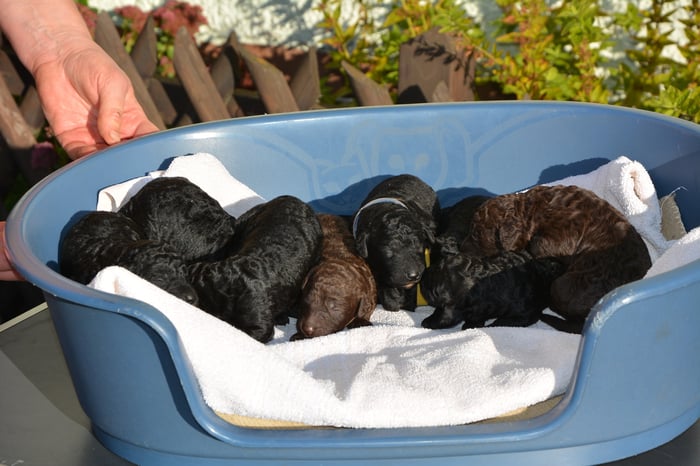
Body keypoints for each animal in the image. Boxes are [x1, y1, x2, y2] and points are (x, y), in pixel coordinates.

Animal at [461, 184, 652, 331]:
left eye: (476, 234)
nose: (461, 247)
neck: (529, 212)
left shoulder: (562, 234)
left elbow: (539, 245)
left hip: (562, 285)